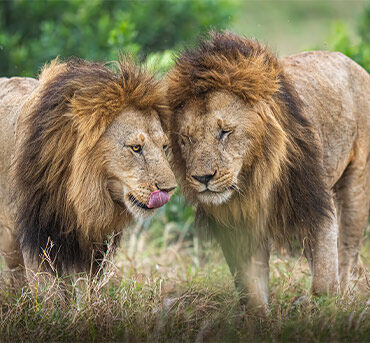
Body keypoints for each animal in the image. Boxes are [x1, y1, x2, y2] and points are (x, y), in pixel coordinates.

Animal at [0, 57, 176, 288]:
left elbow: (87, 289)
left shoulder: (93, 245)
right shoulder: (37, 238)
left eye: (164, 147)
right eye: (136, 148)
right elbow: (49, 291)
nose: (170, 189)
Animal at [166, 32, 368, 312]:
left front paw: (324, 309)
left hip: (356, 185)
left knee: (347, 252)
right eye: (186, 139)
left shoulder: (315, 203)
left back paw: (345, 296)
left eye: (225, 132)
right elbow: (252, 288)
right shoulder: (239, 224)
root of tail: (348, 60)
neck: (255, 178)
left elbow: (325, 278)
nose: (203, 178)